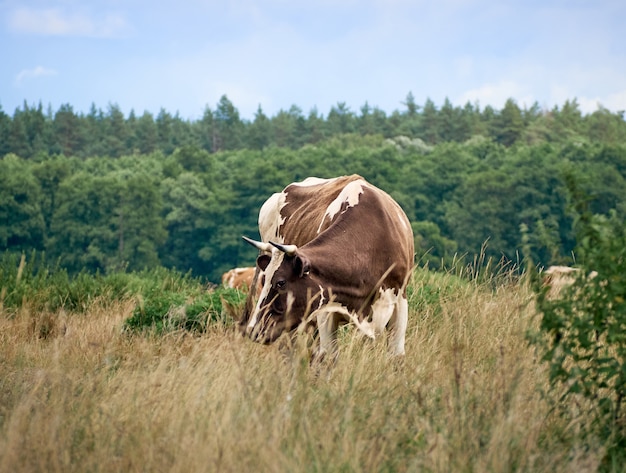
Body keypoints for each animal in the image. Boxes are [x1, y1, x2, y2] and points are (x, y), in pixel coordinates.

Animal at [241, 175, 412, 356]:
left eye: (281, 282)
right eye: (264, 281)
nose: (254, 330)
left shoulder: (400, 302)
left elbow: (396, 355)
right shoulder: (325, 311)